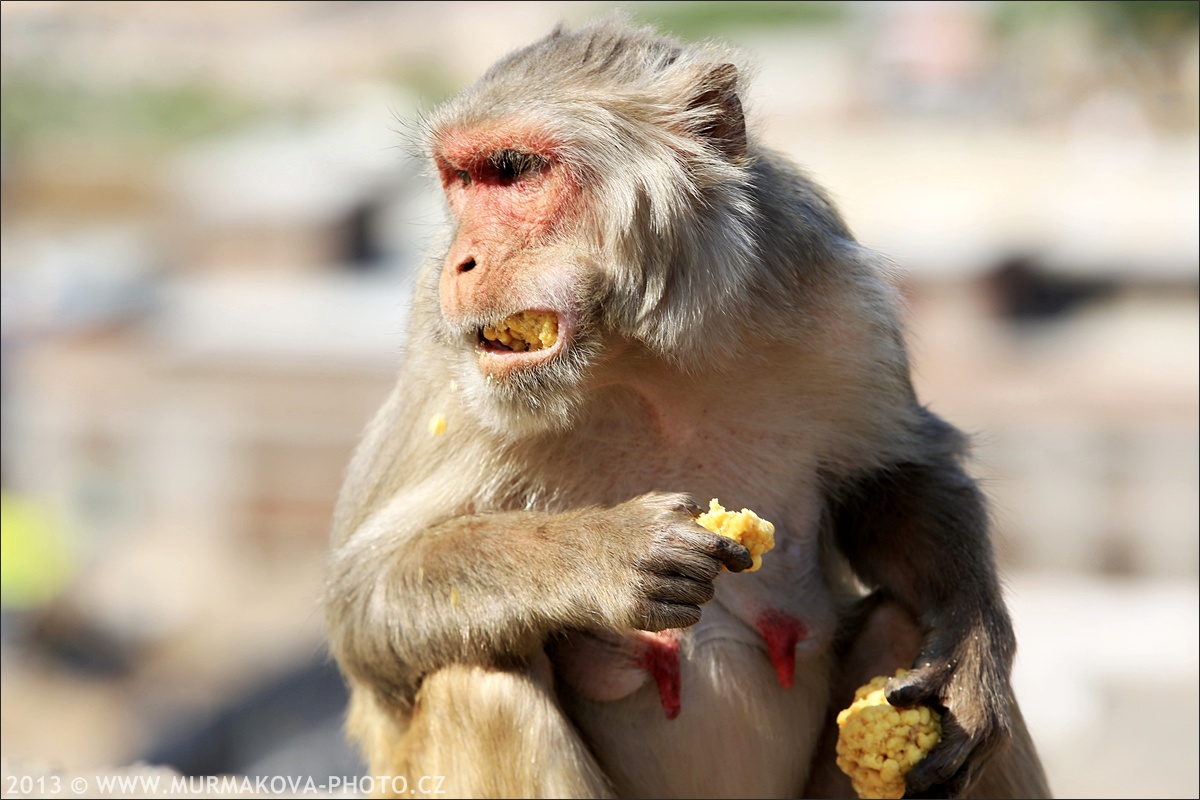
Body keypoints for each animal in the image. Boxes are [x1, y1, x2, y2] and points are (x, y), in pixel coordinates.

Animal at [326, 18, 1051, 800]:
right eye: (459, 180)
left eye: (512, 170)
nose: (461, 262)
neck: (640, 358)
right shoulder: (444, 363)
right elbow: (363, 598)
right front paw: (610, 555)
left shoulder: (836, 294)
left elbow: (895, 476)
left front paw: (970, 646)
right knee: (480, 683)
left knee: (897, 622)